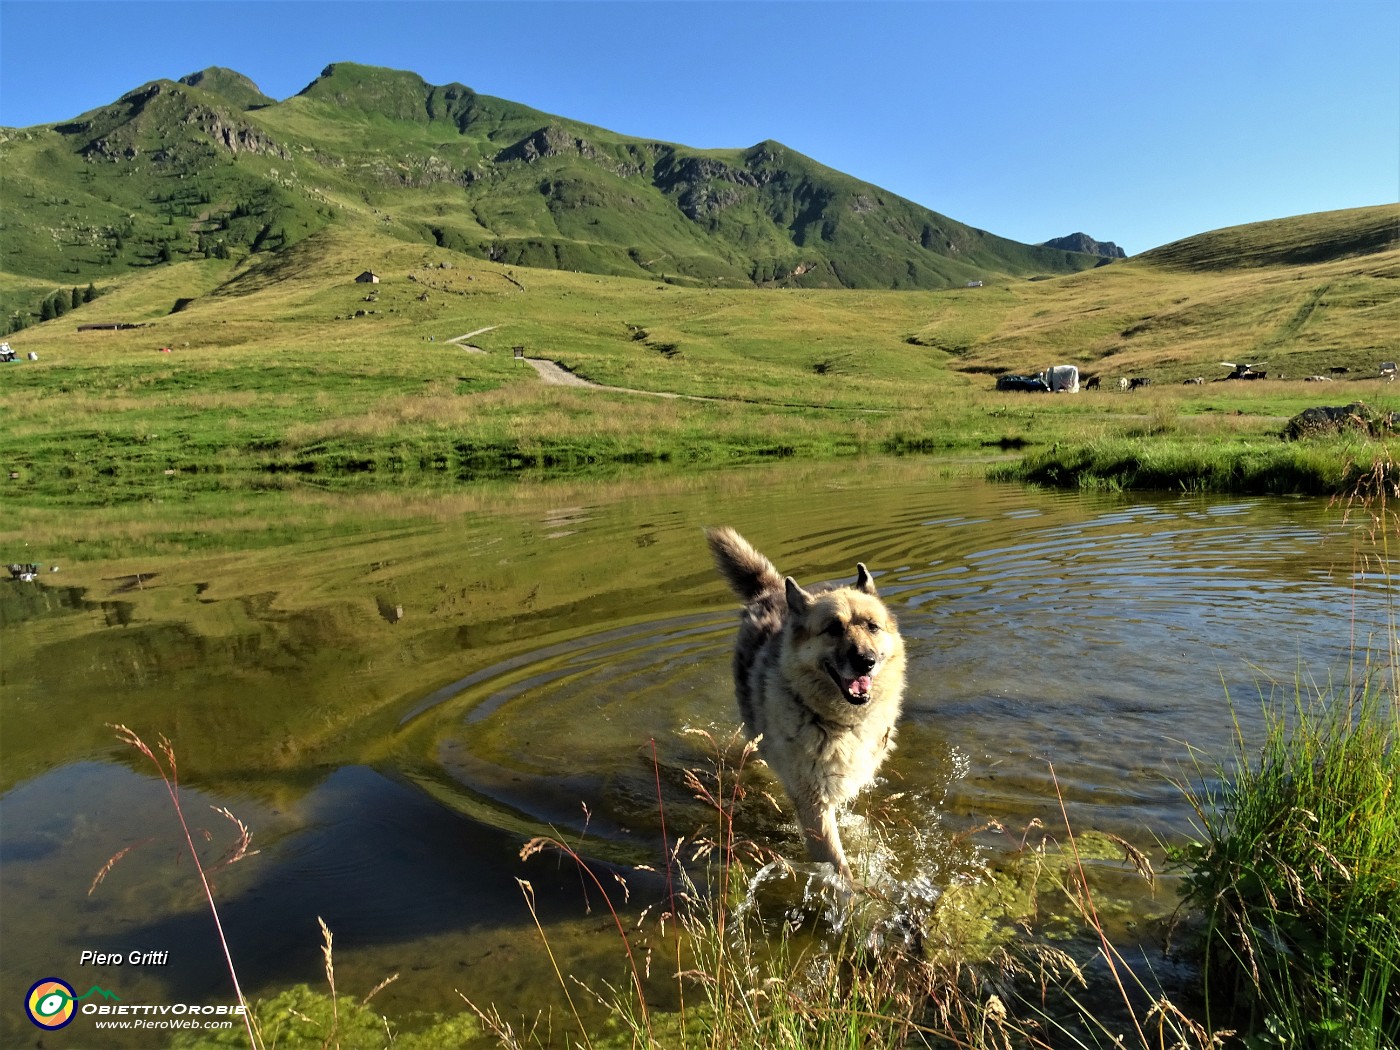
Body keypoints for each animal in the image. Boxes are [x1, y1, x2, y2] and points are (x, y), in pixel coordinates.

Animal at [700, 526, 907, 879]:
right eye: (833, 628)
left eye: (872, 626)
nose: (865, 662)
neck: (837, 722)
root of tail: (772, 591)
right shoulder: (813, 803)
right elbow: (838, 865)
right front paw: (855, 893)